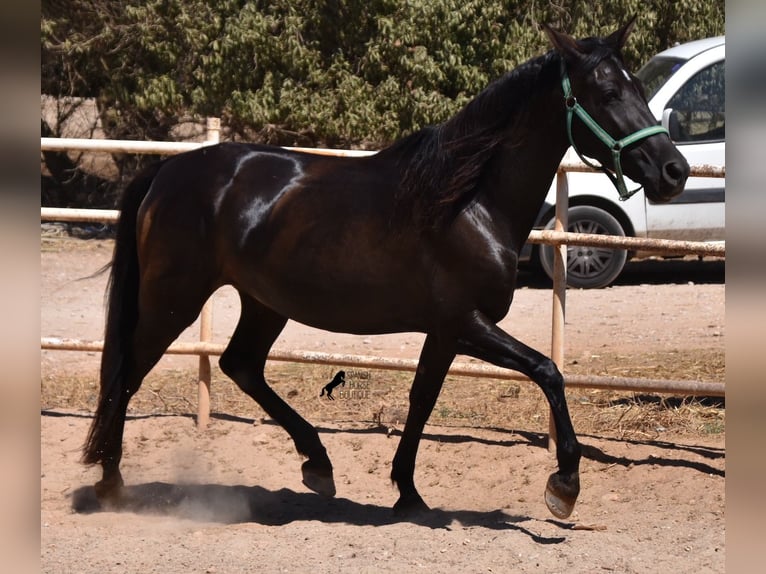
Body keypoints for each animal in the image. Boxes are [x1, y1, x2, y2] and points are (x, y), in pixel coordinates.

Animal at [82, 20, 688, 520]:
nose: (674, 171)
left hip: (264, 302)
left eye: (640, 88)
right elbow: (548, 371)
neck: (468, 203)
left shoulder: (445, 332)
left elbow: (422, 401)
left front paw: (409, 493)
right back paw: (111, 484)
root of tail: (167, 171)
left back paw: (318, 463)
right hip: (174, 300)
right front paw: (564, 486)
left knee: (241, 365)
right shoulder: (466, 323)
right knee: (128, 374)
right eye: (607, 94)